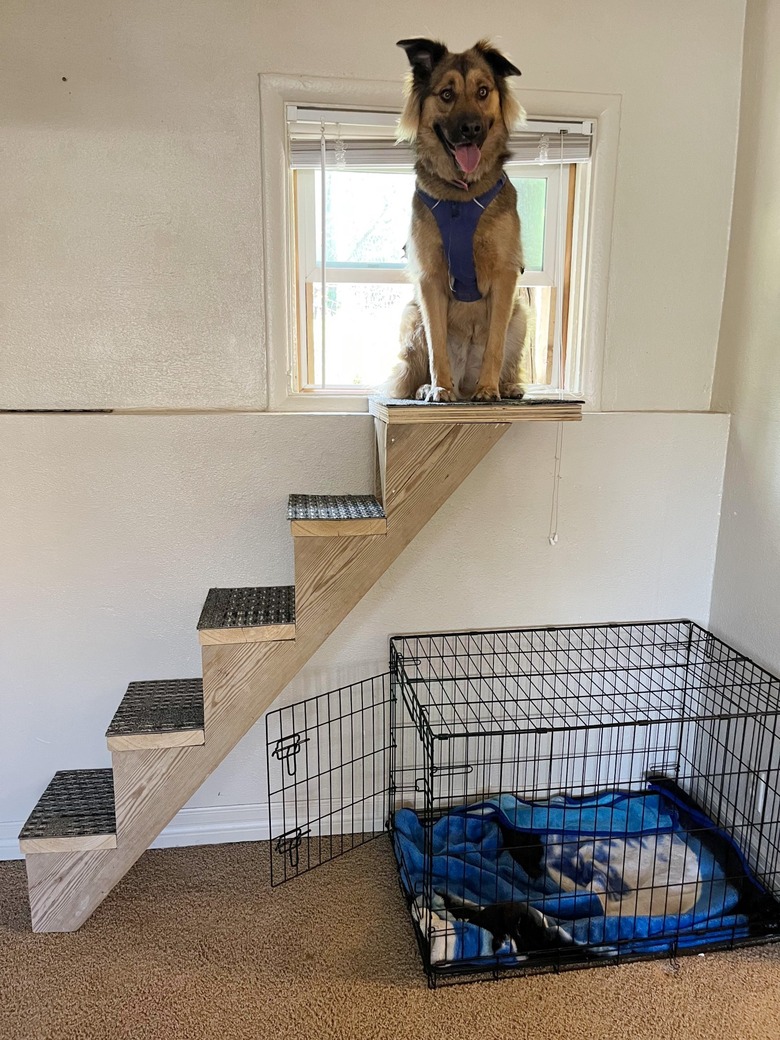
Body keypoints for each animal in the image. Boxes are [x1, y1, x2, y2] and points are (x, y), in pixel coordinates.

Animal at [384, 36, 532, 403]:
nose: (471, 129)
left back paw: (505, 385)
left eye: (483, 91)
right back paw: (427, 387)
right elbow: (437, 345)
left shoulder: (506, 275)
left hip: (521, 314)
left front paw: (489, 389)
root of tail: (465, 378)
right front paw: (439, 388)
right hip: (411, 315)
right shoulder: (430, 278)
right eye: (447, 94)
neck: (462, 194)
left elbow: (495, 343)